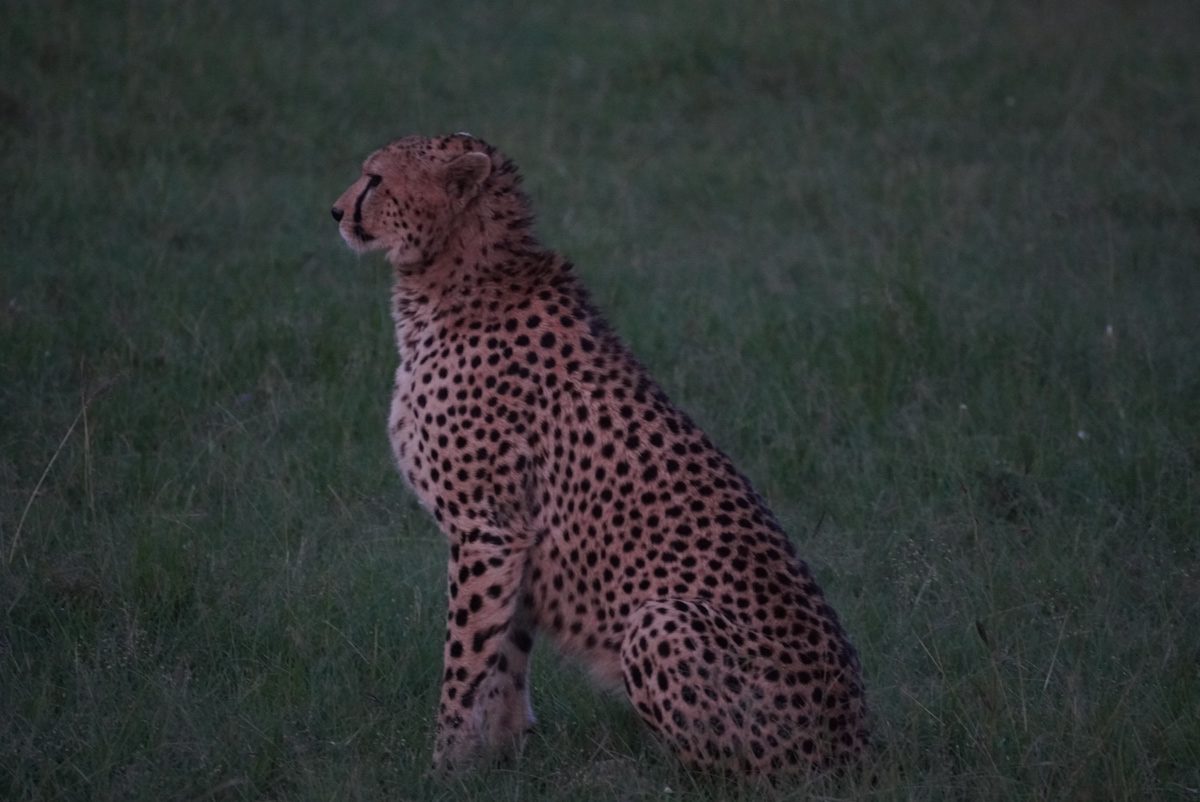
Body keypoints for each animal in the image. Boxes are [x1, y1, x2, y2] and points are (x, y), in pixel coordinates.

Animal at [331, 133, 868, 776]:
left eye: (375, 179)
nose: (335, 211)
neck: (459, 271)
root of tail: (859, 743)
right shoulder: (515, 539)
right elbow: (504, 653)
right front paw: (502, 756)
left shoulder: (487, 530)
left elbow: (465, 660)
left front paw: (444, 765)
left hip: (662, 621)